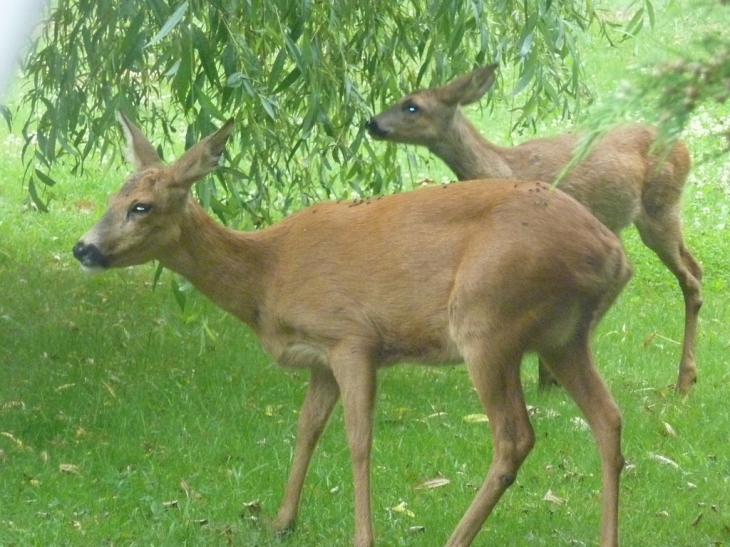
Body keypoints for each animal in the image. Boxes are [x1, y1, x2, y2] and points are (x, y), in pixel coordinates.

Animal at [75, 112, 632, 547]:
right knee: (607, 418)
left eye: (141, 206)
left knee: (515, 437)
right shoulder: (320, 357)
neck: (266, 276)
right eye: (111, 199)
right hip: (563, 337)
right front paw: (282, 521)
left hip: (488, 319)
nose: (84, 248)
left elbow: (358, 438)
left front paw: (362, 535)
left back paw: (456, 537)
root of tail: (614, 254)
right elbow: (306, 428)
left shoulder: (351, 338)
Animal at [366, 64, 704, 394]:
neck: (506, 169)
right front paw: (547, 376)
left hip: (659, 208)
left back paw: (684, 381)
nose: (372, 123)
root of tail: (685, 148)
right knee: (689, 267)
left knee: (688, 276)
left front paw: (551, 375)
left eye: (412, 106)